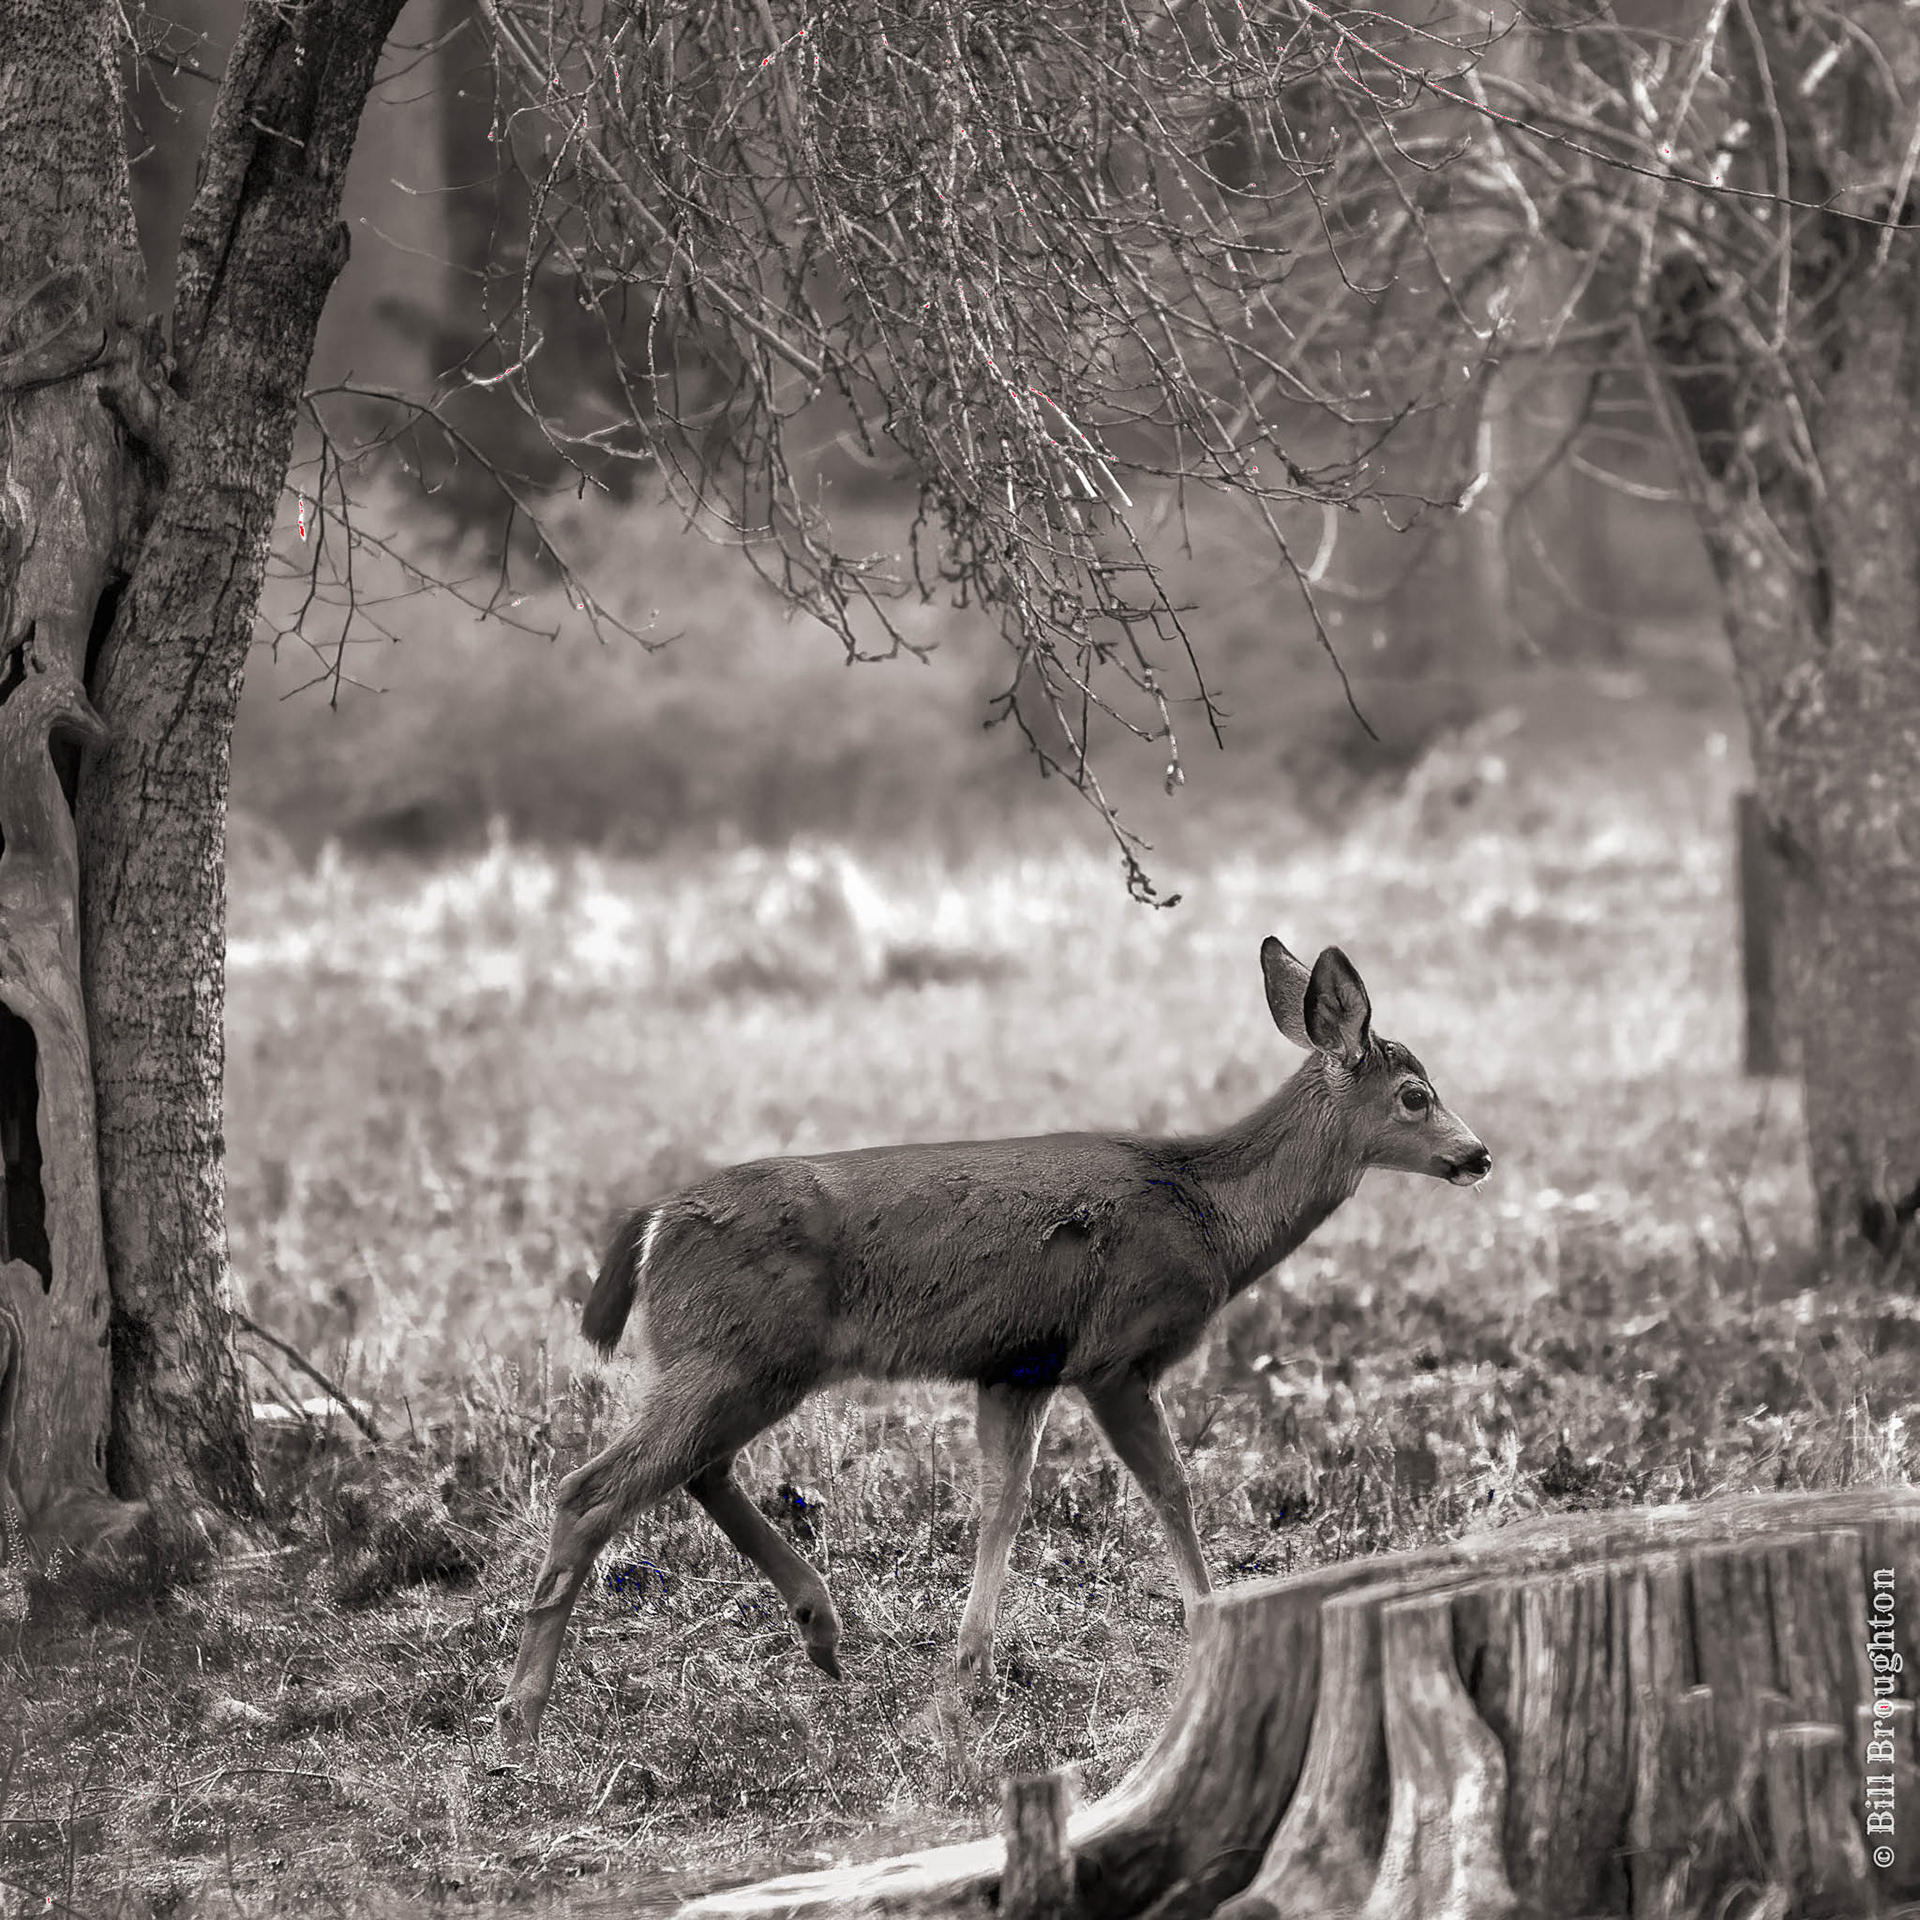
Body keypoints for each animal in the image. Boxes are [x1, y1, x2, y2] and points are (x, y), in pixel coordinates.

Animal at [495, 936, 1490, 1752]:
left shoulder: (1017, 1367)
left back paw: (820, 1629)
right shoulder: (1110, 1355)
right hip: (733, 1356)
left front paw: (963, 1680)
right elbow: (1169, 1489)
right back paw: (522, 1713)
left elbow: (1001, 1507)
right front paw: (1207, 1622)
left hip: (738, 1363)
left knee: (695, 1471)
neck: (1210, 1216)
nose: (1478, 1155)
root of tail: (653, 1222)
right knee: (591, 1489)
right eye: (1416, 1095)